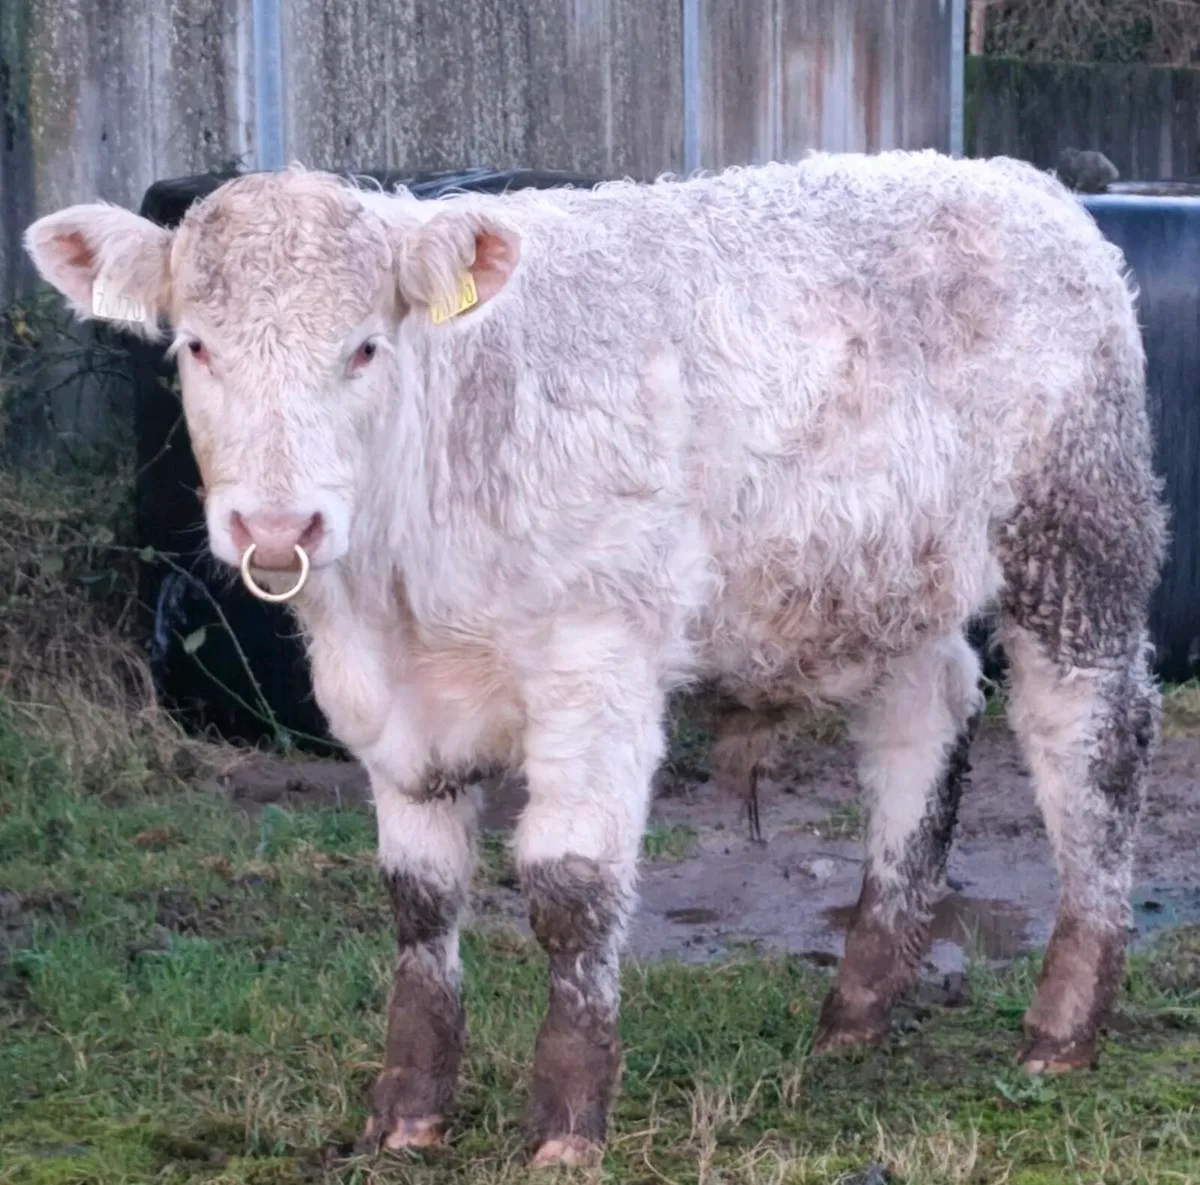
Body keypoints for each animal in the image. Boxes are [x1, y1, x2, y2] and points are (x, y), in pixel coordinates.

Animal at [24, 149, 1166, 1167]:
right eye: (196, 347)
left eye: (364, 349)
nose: (275, 526)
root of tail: (1019, 180)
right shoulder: (384, 700)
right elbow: (418, 894)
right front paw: (408, 1112)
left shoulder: (596, 660)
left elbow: (570, 889)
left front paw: (569, 1119)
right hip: (881, 576)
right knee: (921, 726)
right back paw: (856, 1008)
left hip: (1079, 535)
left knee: (1089, 742)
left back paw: (1064, 1024)